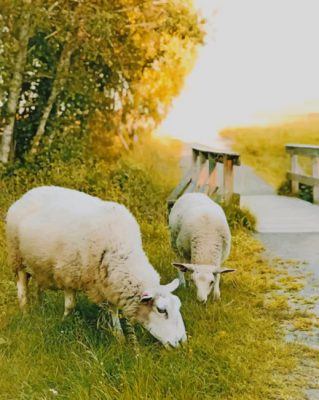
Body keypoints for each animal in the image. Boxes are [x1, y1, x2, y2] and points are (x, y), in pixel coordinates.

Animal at [6, 187, 188, 346]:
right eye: (161, 310)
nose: (181, 343)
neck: (119, 250)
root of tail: (28, 193)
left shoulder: (110, 282)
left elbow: (114, 309)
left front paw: (119, 335)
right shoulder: (68, 274)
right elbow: (70, 306)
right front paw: (64, 323)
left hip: (39, 265)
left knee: (39, 287)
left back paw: (41, 307)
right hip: (17, 258)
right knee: (22, 289)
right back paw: (25, 312)